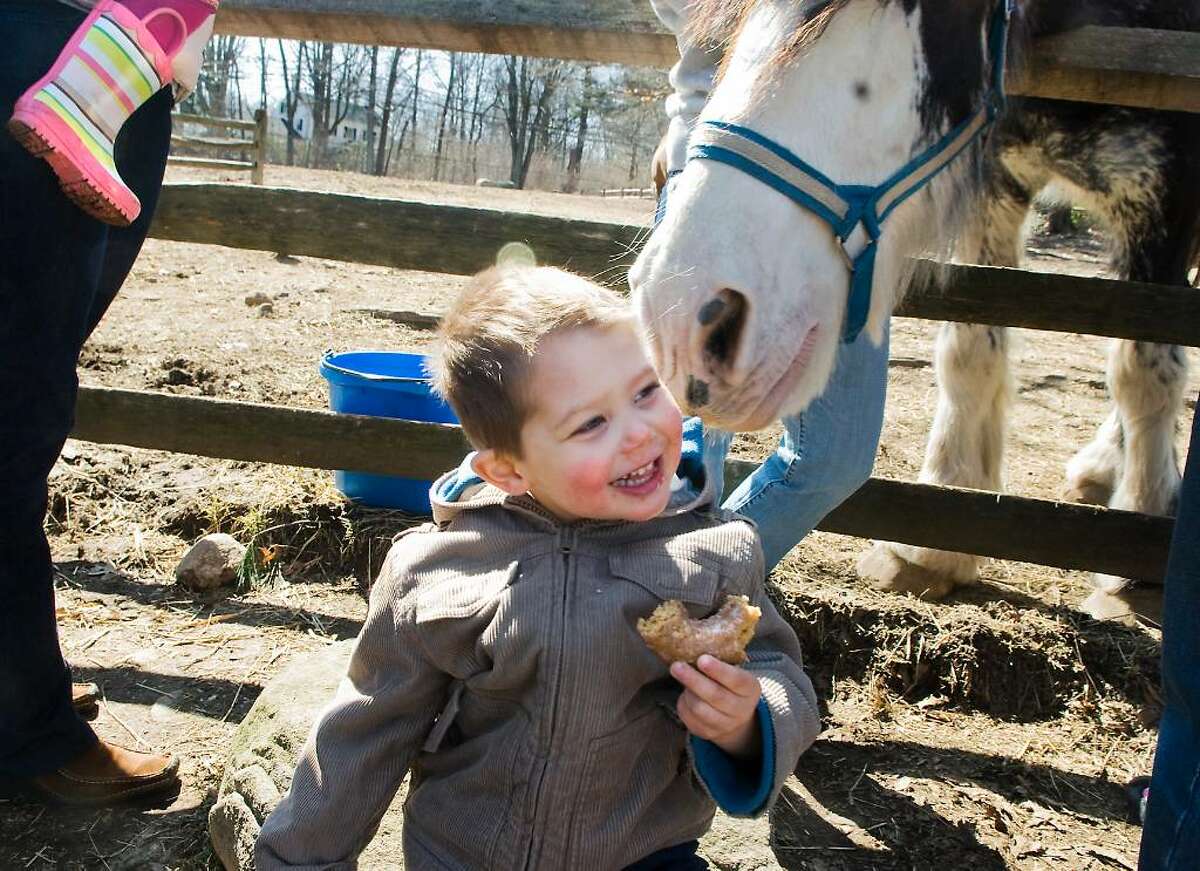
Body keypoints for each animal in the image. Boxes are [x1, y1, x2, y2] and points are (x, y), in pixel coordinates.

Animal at [628, 0, 1200, 614]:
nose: (681, 319)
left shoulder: (1168, 189)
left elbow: (1144, 363)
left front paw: (1137, 540)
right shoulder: (996, 183)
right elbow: (970, 351)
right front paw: (938, 533)